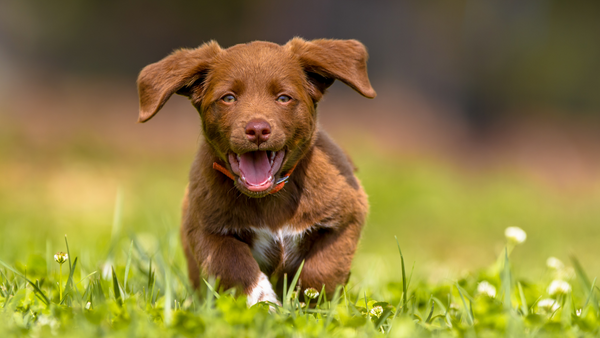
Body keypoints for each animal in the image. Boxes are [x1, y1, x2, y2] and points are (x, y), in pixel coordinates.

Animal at [138, 37, 378, 306]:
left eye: (283, 98)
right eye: (228, 98)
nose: (257, 130)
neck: (270, 197)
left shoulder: (348, 215)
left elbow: (323, 269)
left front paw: (308, 304)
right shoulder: (205, 229)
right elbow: (234, 266)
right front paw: (266, 305)